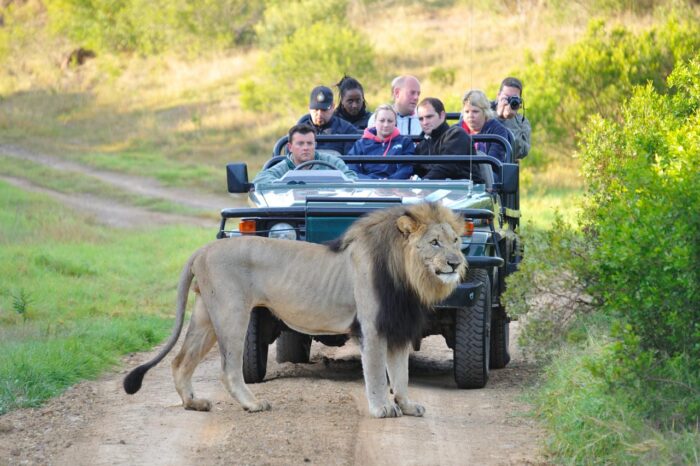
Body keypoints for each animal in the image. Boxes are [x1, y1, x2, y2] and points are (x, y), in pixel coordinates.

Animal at [123, 203, 468, 418]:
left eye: (457, 241)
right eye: (435, 243)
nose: (456, 263)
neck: (409, 276)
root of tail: (204, 248)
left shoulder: (397, 328)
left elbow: (401, 374)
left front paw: (408, 406)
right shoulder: (372, 327)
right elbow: (376, 374)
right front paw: (381, 408)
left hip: (206, 315)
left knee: (181, 361)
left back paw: (193, 403)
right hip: (232, 312)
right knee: (228, 369)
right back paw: (252, 404)